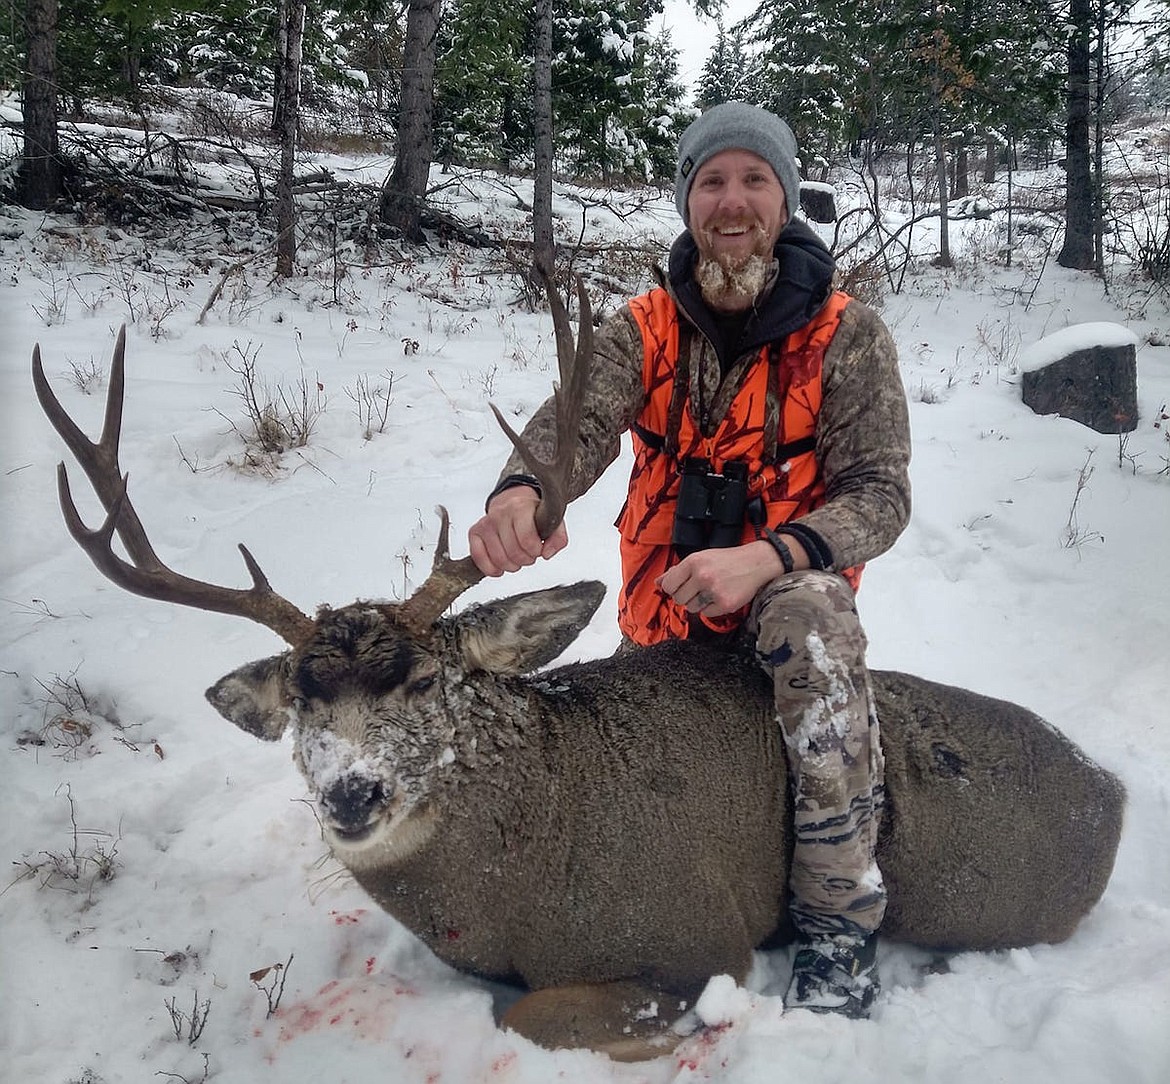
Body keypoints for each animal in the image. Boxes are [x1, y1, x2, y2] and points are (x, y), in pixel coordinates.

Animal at [32, 277, 1118, 1062]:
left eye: (425, 682)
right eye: (301, 700)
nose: (352, 794)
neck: (518, 874)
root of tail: (1112, 789)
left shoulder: (698, 936)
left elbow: (527, 1015)